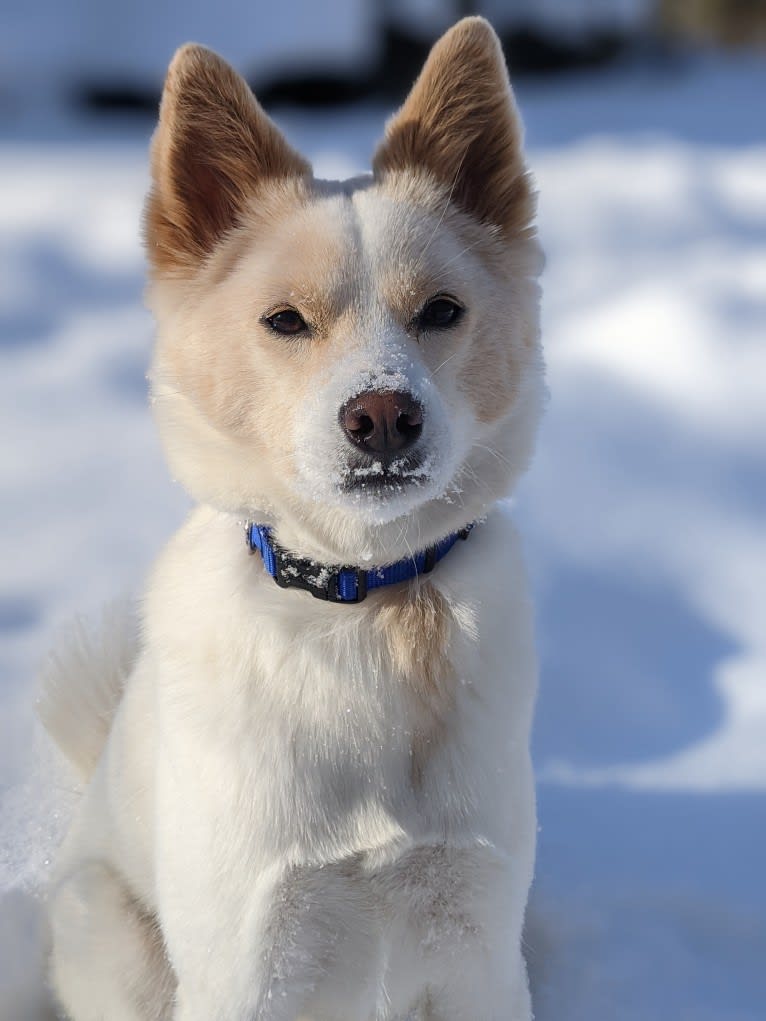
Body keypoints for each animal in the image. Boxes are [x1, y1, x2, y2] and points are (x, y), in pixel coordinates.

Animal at [41, 15, 547, 1021]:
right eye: (285, 320)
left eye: (443, 311)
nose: (384, 417)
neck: (370, 606)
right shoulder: (248, 964)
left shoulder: (480, 953)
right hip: (107, 927)